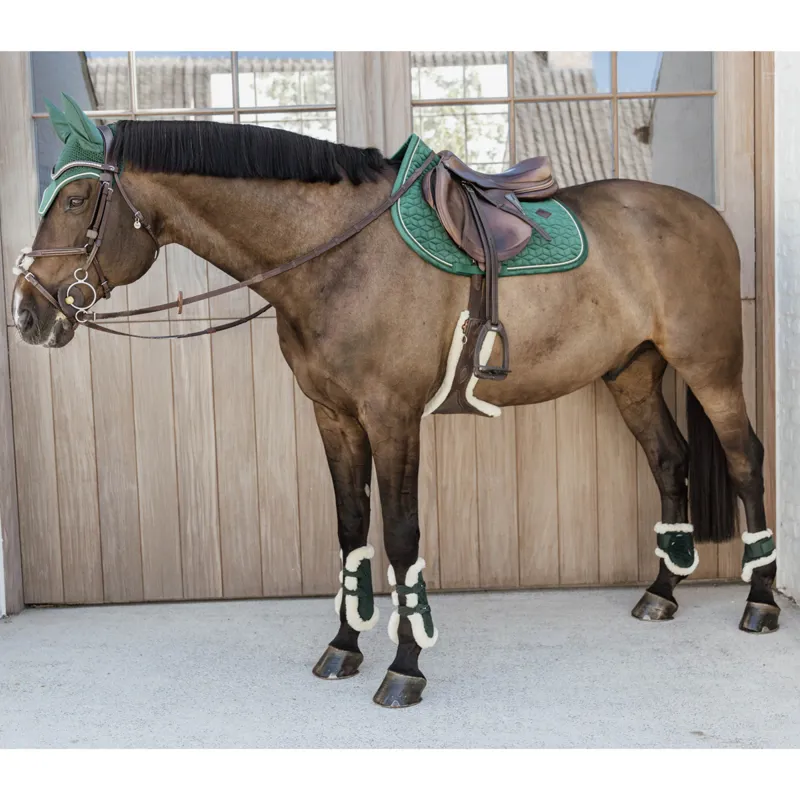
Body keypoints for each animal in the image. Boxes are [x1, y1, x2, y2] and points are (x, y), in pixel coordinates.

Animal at [12, 96, 778, 709]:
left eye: (76, 202)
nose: (26, 313)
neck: (337, 257)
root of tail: (704, 214)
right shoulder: (334, 417)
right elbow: (352, 528)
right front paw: (343, 648)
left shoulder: (392, 418)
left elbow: (402, 536)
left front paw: (405, 667)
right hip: (632, 373)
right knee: (670, 460)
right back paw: (661, 594)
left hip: (710, 367)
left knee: (745, 459)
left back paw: (761, 602)